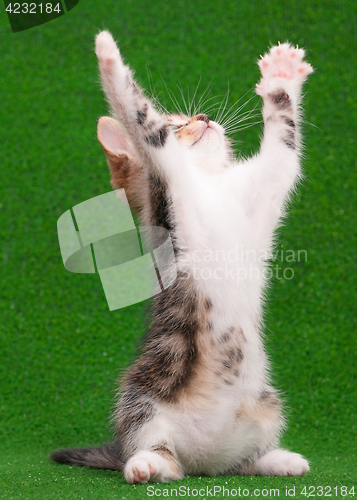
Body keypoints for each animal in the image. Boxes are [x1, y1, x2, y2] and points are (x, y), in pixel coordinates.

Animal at [50, 29, 312, 482]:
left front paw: (281, 78)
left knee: (237, 463)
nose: (204, 117)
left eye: (193, 118)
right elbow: (138, 114)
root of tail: (202, 459)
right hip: (141, 396)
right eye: (176, 124)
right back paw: (148, 463)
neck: (209, 184)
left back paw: (275, 459)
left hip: (267, 405)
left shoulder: (267, 181)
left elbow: (285, 142)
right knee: (160, 452)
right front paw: (108, 56)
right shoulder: (165, 185)